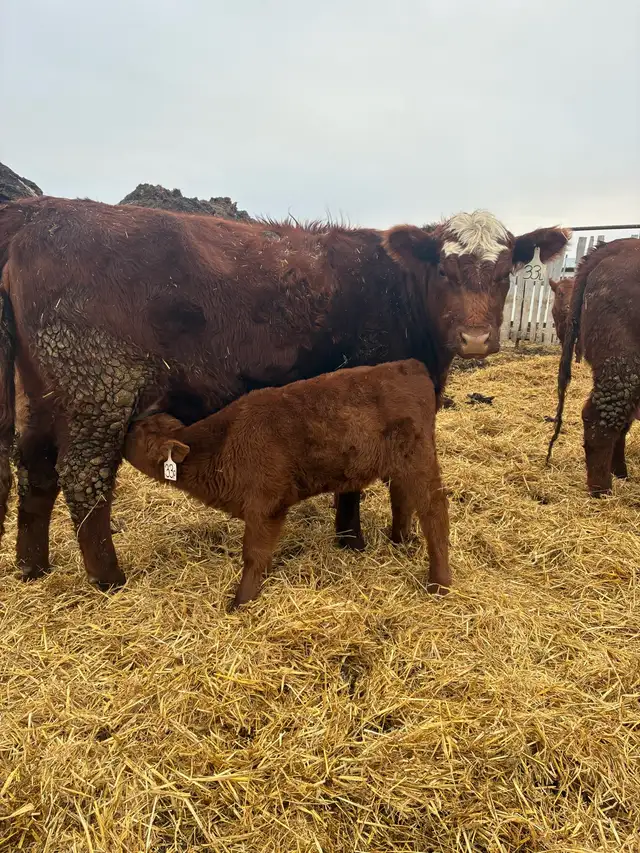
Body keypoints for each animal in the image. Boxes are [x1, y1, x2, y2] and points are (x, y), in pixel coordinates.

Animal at [124, 359, 450, 609]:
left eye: (136, 435)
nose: (124, 427)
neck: (224, 443)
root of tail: (408, 365)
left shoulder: (265, 506)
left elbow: (253, 554)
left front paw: (240, 602)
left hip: (420, 463)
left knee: (434, 513)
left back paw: (439, 584)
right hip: (401, 466)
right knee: (402, 497)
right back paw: (399, 540)